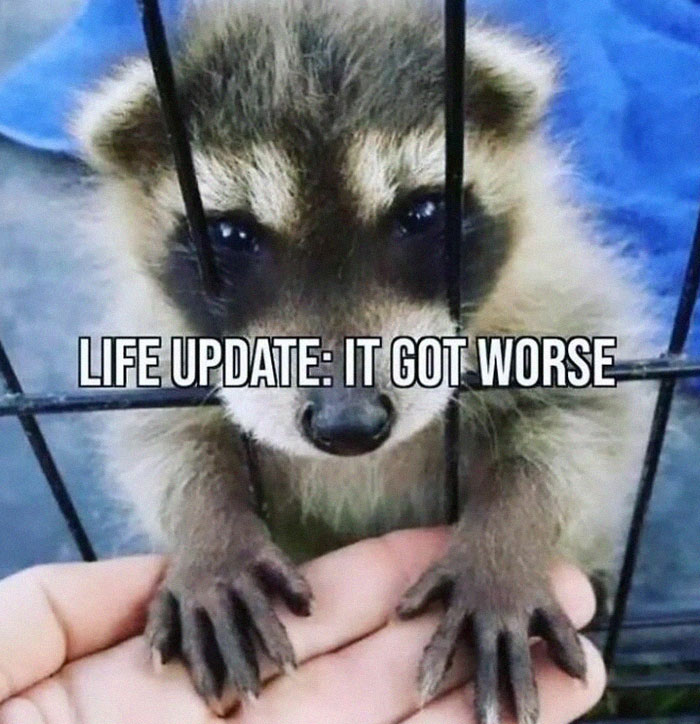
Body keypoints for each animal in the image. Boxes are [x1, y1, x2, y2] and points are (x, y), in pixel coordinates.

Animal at [73, 0, 655, 721]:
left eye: (422, 213)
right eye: (232, 234)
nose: (348, 425)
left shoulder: (561, 297)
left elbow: (586, 420)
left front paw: (504, 545)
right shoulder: (160, 339)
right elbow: (163, 439)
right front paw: (210, 537)